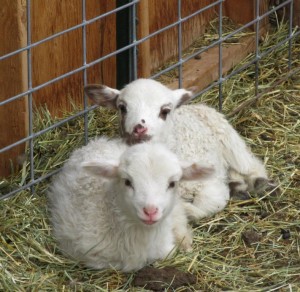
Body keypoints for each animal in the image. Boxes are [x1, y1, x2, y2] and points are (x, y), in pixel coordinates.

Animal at [84, 78, 270, 218]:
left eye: (165, 111)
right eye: (122, 108)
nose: (139, 128)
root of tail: (192, 106)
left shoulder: (211, 187)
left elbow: (202, 208)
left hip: (230, 141)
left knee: (249, 165)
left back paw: (256, 182)